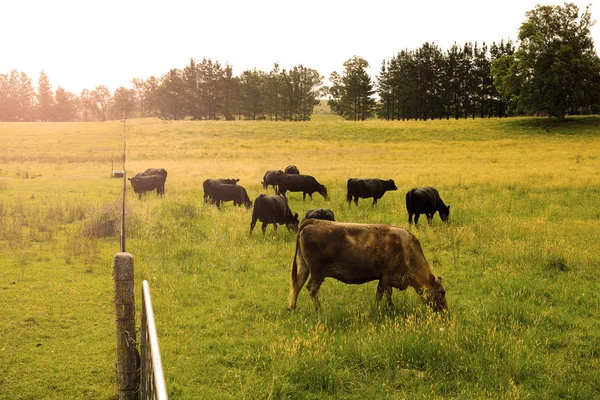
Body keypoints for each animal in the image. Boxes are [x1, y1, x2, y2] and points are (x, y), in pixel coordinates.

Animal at [288, 219, 448, 312]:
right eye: (441, 292)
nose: (445, 311)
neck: (407, 249)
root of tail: (313, 222)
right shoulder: (386, 277)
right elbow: (381, 294)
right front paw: (379, 308)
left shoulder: (386, 279)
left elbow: (386, 294)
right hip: (317, 272)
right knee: (311, 288)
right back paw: (319, 310)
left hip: (304, 267)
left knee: (297, 284)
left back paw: (292, 308)